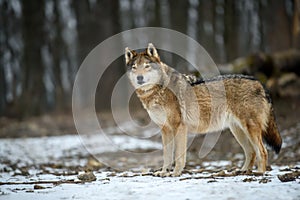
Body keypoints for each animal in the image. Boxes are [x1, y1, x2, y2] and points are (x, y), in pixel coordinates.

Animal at [123, 42, 282, 177]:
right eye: (134, 67)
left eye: (147, 66)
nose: (139, 78)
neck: (158, 91)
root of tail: (260, 83)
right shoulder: (165, 129)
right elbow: (167, 155)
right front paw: (163, 172)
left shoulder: (179, 127)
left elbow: (178, 156)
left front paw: (175, 173)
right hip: (238, 131)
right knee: (251, 152)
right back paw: (242, 171)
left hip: (250, 129)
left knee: (262, 151)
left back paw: (259, 173)